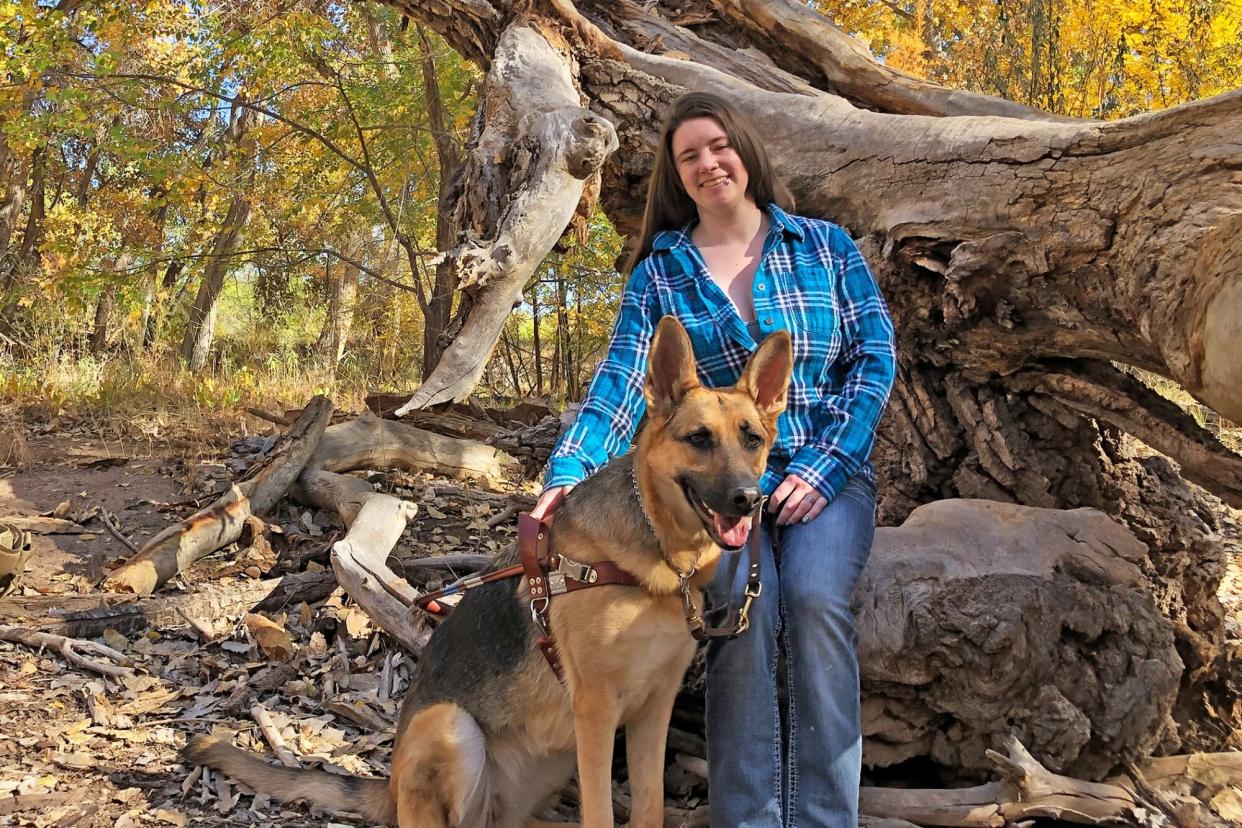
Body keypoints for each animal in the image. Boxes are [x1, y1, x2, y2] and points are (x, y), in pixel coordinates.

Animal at [181, 317, 789, 828]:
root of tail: (390, 785)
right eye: (699, 439)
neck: (657, 556)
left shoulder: (652, 710)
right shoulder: (596, 711)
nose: (749, 499)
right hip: (451, 727)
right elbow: (600, 813)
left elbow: (649, 808)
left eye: (752, 440)